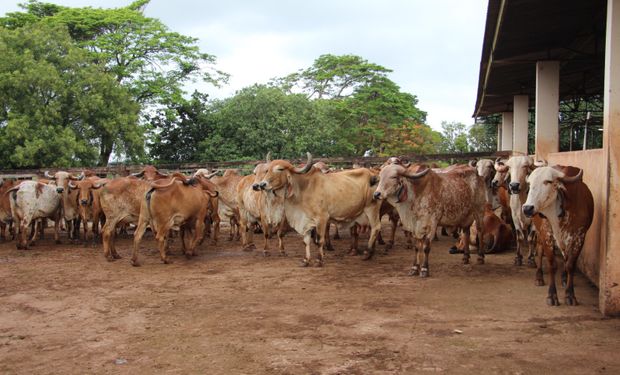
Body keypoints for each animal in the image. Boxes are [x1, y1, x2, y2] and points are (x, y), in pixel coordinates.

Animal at [524, 164, 596, 306]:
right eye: (529, 183)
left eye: (547, 181)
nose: (527, 208)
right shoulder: (547, 235)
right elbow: (552, 265)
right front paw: (552, 296)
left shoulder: (579, 237)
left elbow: (570, 265)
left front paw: (570, 294)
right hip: (540, 233)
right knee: (539, 251)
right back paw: (539, 277)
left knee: (565, 257)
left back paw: (563, 278)